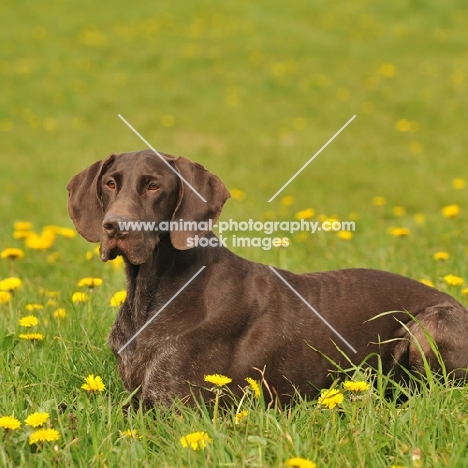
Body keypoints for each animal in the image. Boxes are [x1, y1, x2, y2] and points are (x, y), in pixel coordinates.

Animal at [66, 150, 468, 406]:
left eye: (153, 185)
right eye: (110, 184)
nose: (114, 227)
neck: (150, 296)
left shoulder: (174, 409)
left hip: (428, 326)